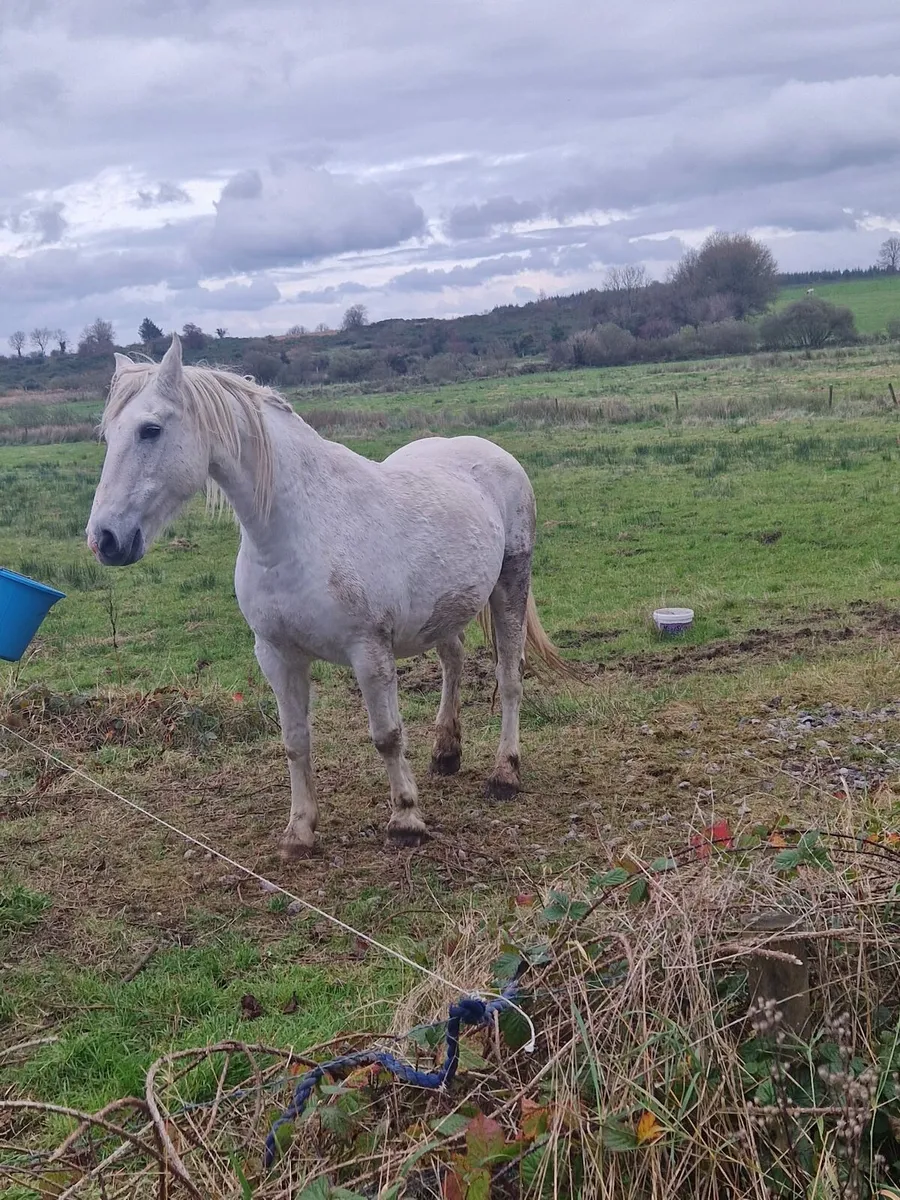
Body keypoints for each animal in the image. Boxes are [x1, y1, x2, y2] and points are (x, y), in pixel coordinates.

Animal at [86, 333, 569, 860]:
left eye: (150, 430)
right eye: (108, 435)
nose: (105, 539)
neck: (297, 530)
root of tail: (493, 453)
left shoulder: (369, 651)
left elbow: (386, 736)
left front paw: (406, 820)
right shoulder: (276, 655)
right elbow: (295, 741)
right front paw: (299, 832)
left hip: (511, 584)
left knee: (509, 676)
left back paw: (505, 772)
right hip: (444, 609)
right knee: (454, 661)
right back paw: (446, 752)